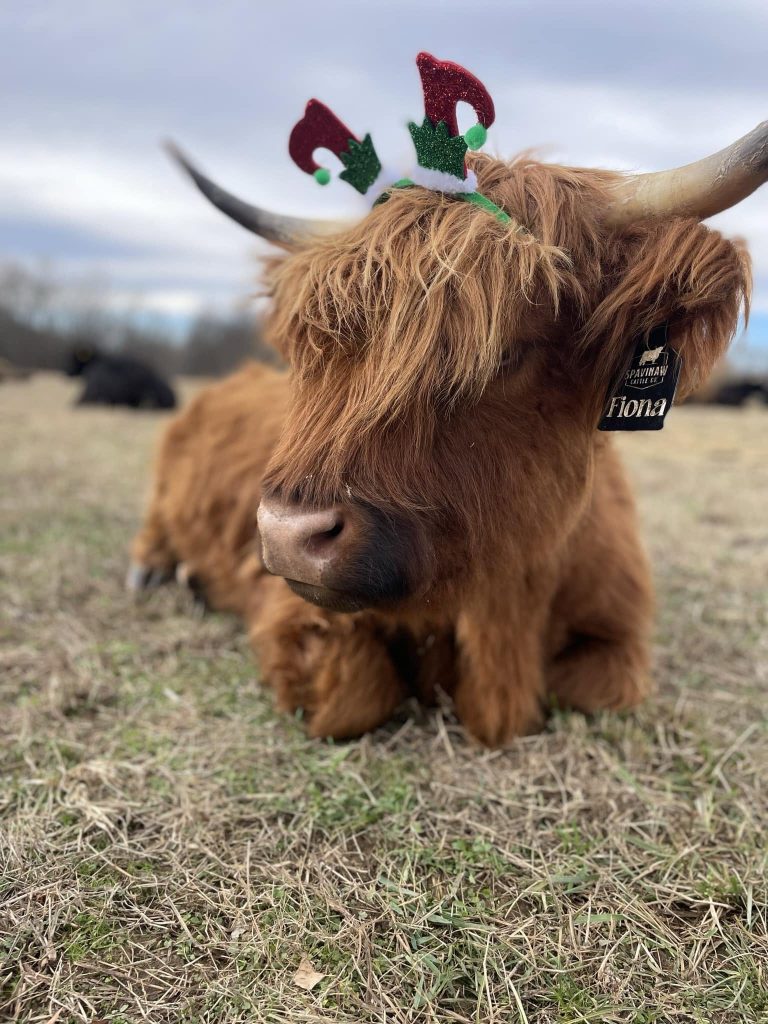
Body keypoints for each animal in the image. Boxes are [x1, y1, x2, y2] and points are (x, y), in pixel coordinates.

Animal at [129, 62, 764, 745]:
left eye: (507, 351)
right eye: (316, 348)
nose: (288, 535)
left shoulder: (618, 638)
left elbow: (599, 689)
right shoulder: (298, 615)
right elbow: (353, 695)